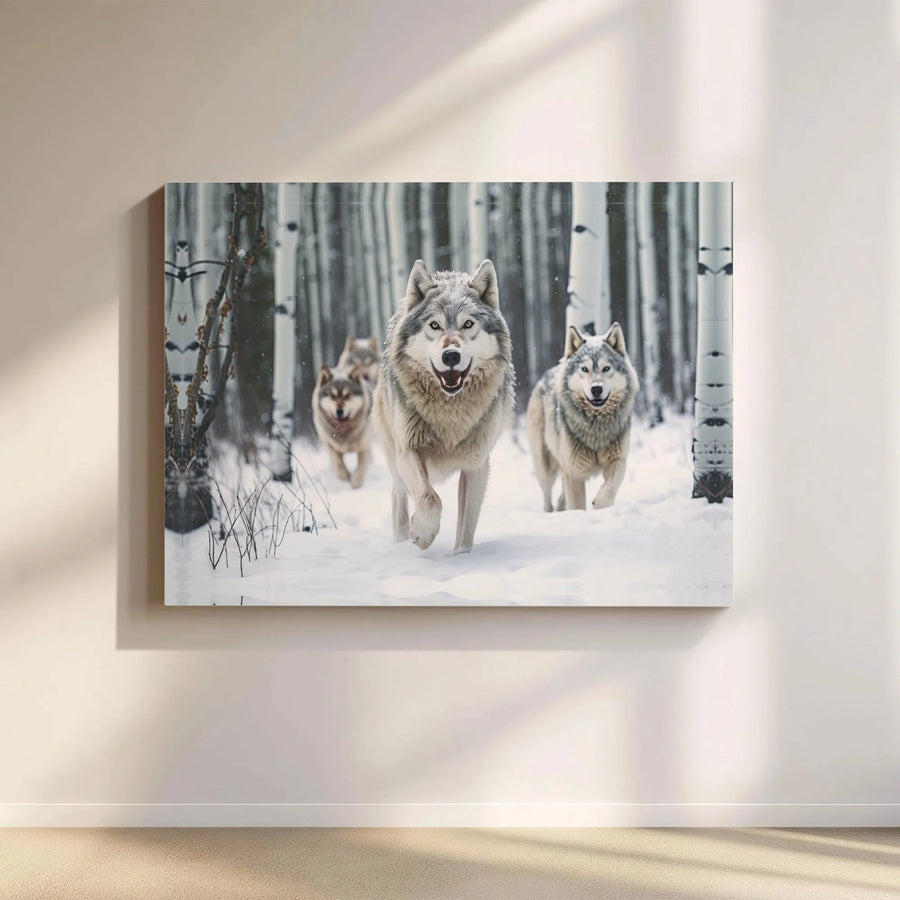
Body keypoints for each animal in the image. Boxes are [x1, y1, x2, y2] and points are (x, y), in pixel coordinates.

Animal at [373, 259, 515, 553]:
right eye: (435, 325)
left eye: (468, 323)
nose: (451, 355)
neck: (450, 412)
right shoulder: (408, 451)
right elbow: (430, 499)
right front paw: (422, 534)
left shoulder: (476, 465)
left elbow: (466, 528)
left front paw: (461, 557)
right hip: (395, 457)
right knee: (398, 495)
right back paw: (401, 538)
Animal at [527, 323, 639, 512]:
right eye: (584, 369)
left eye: (606, 368)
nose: (596, 389)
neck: (596, 427)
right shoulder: (574, 473)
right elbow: (577, 506)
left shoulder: (618, 460)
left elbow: (609, 489)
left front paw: (599, 505)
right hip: (546, 467)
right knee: (548, 498)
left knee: (560, 498)